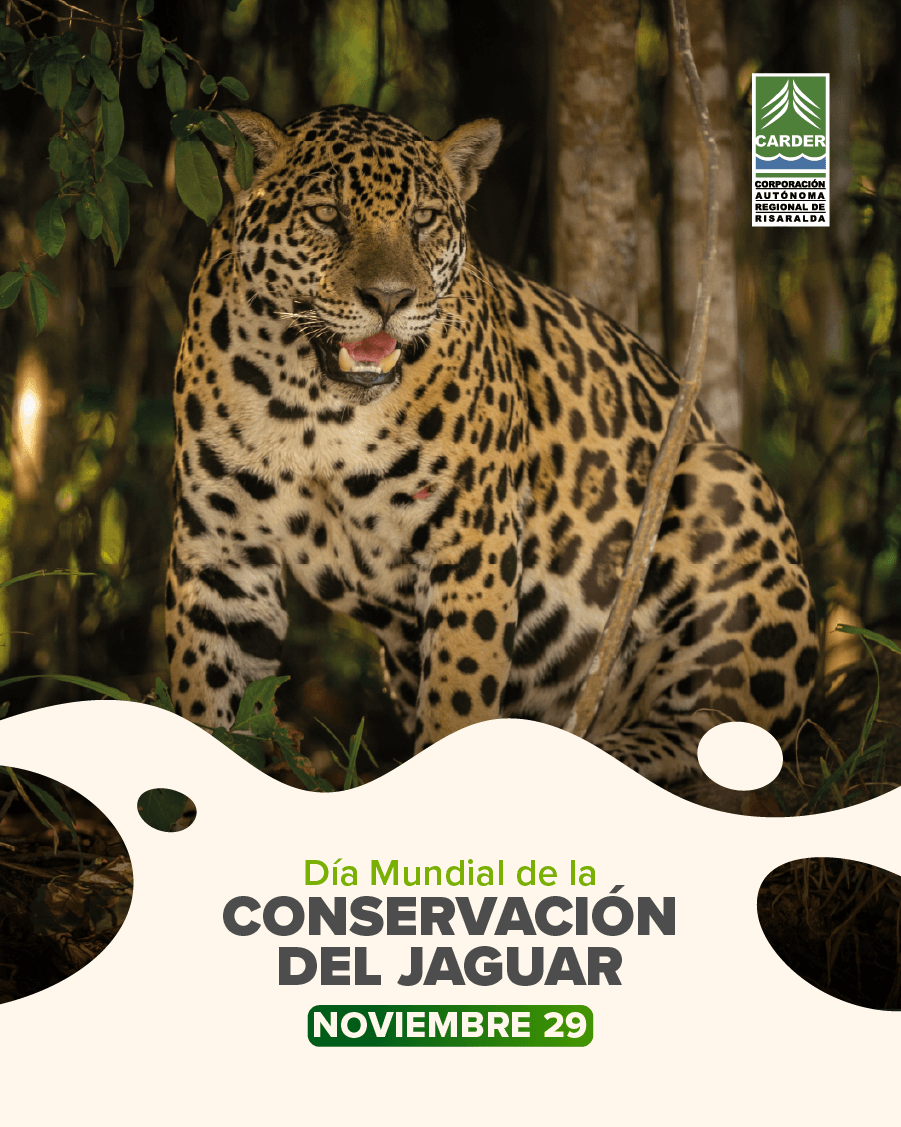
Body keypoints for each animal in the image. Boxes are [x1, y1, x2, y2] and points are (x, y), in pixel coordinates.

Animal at [165, 103, 819, 782]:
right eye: (326, 215)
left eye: (423, 220)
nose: (389, 298)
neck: (317, 409)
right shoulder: (221, 549)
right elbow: (206, 694)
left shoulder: (471, 536)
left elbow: (459, 695)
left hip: (724, 481)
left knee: (725, 727)